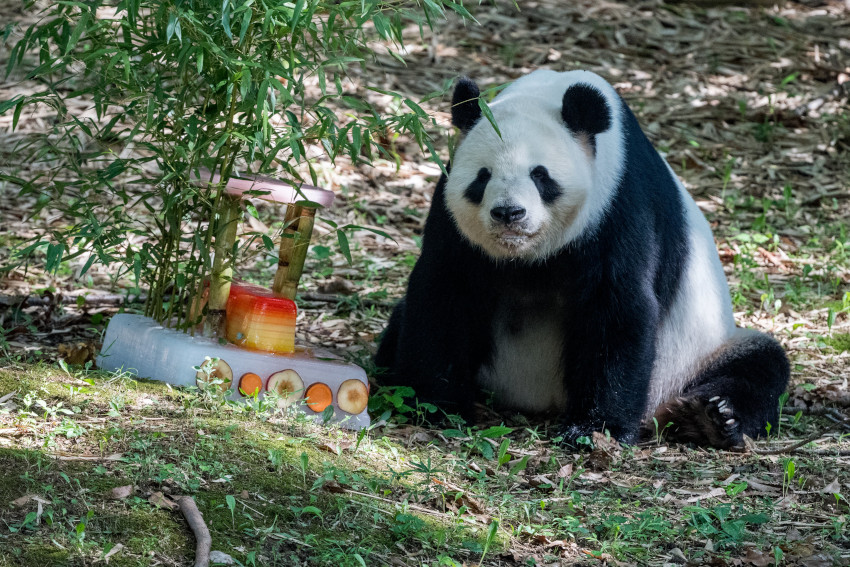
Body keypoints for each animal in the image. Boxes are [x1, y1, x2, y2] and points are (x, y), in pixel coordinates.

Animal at [378, 70, 788, 448]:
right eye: (482, 177)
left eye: (540, 175)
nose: (509, 213)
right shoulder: (452, 220)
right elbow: (443, 293)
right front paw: (437, 404)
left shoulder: (618, 207)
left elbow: (617, 308)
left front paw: (593, 429)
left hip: (695, 355)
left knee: (762, 365)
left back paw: (710, 417)